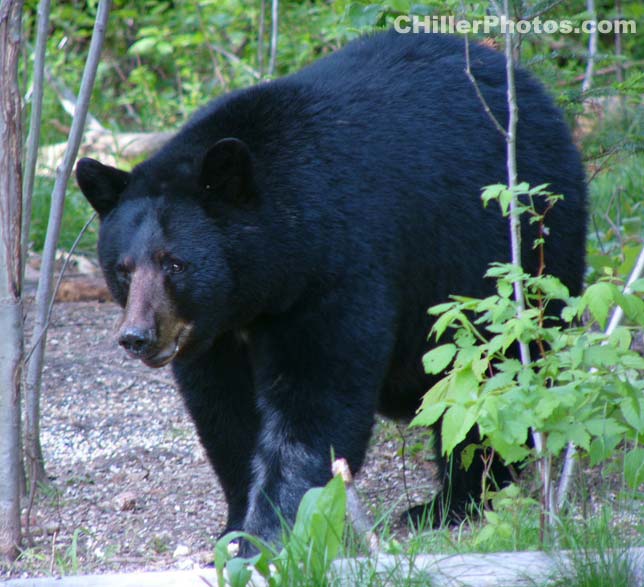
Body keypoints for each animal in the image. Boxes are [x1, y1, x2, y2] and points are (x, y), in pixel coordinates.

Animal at [74, 32, 584, 548]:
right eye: (122, 268)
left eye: (175, 263)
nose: (137, 336)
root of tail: (532, 88)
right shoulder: (214, 334)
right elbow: (225, 413)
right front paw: (237, 523)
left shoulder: (337, 269)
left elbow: (315, 397)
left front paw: (271, 531)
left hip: (513, 248)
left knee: (488, 377)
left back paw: (451, 502)